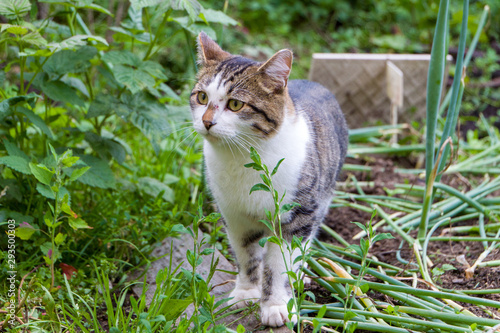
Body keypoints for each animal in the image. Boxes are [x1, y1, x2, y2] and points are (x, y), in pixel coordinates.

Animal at [189, 31, 350, 326]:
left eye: (235, 104)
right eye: (202, 97)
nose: (206, 122)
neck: (241, 159)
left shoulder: (297, 215)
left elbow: (280, 264)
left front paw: (276, 305)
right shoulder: (234, 216)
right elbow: (246, 255)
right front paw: (246, 293)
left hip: (323, 195)